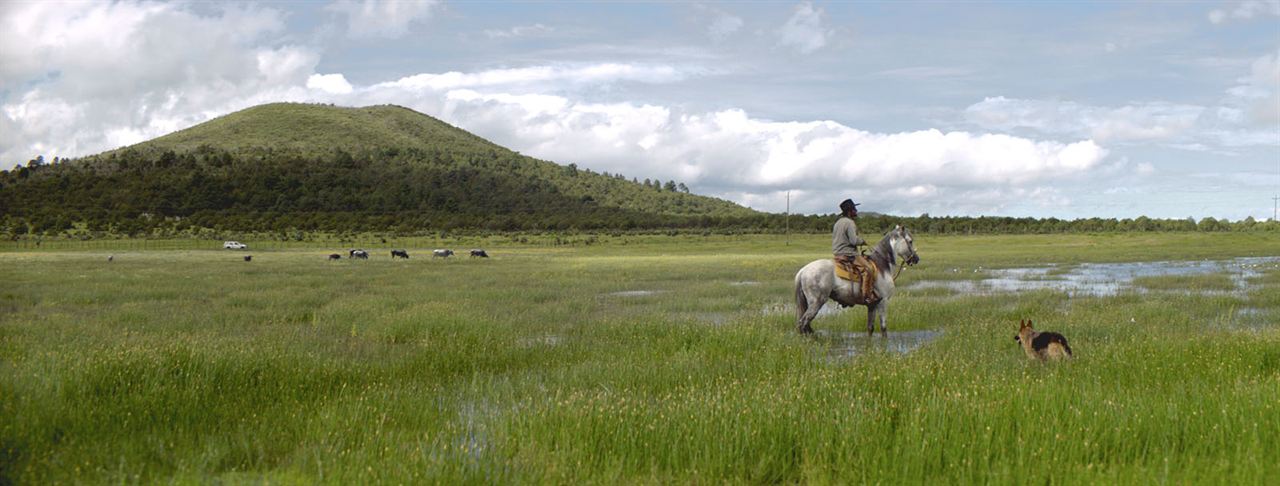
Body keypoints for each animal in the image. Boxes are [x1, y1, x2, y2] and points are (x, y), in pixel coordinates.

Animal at [788, 226, 921, 335]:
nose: (916, 259)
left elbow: (870, 328)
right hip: (816, 303)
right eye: (910, 241)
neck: (882, 265)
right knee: (802, 324)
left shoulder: (872, 305)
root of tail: (803, 271)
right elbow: (884, 329)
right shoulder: (883, 302)